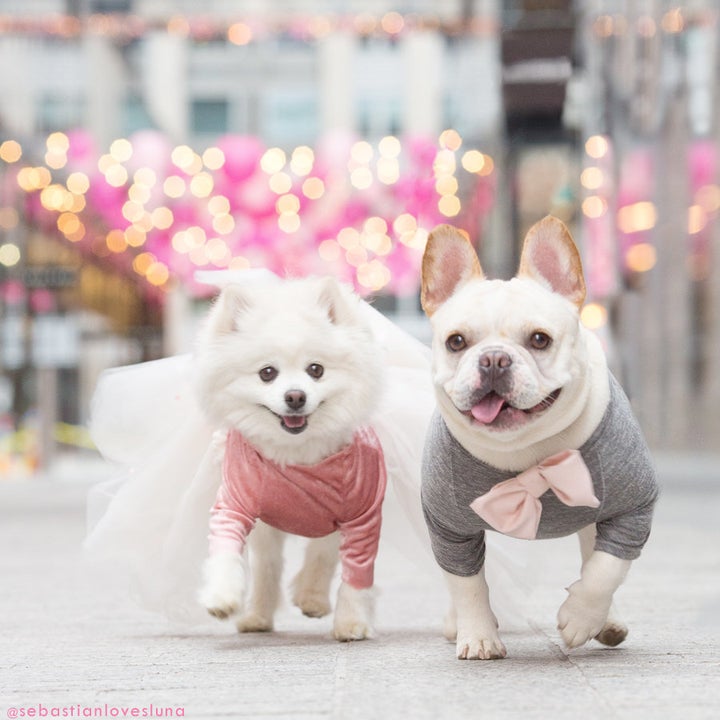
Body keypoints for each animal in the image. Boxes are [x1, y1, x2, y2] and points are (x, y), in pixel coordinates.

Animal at [194, 276, 388, 640]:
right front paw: (222, 597)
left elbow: (354, 574)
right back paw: (257, 614)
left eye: (316, 369)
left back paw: (312, 597)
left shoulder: (361, 516)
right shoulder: (235, 504)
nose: (295, 396)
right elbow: (227, 551)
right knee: (268, 566)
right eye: (267, 373)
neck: (298, 458)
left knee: (321, 553)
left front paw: (351, 622)